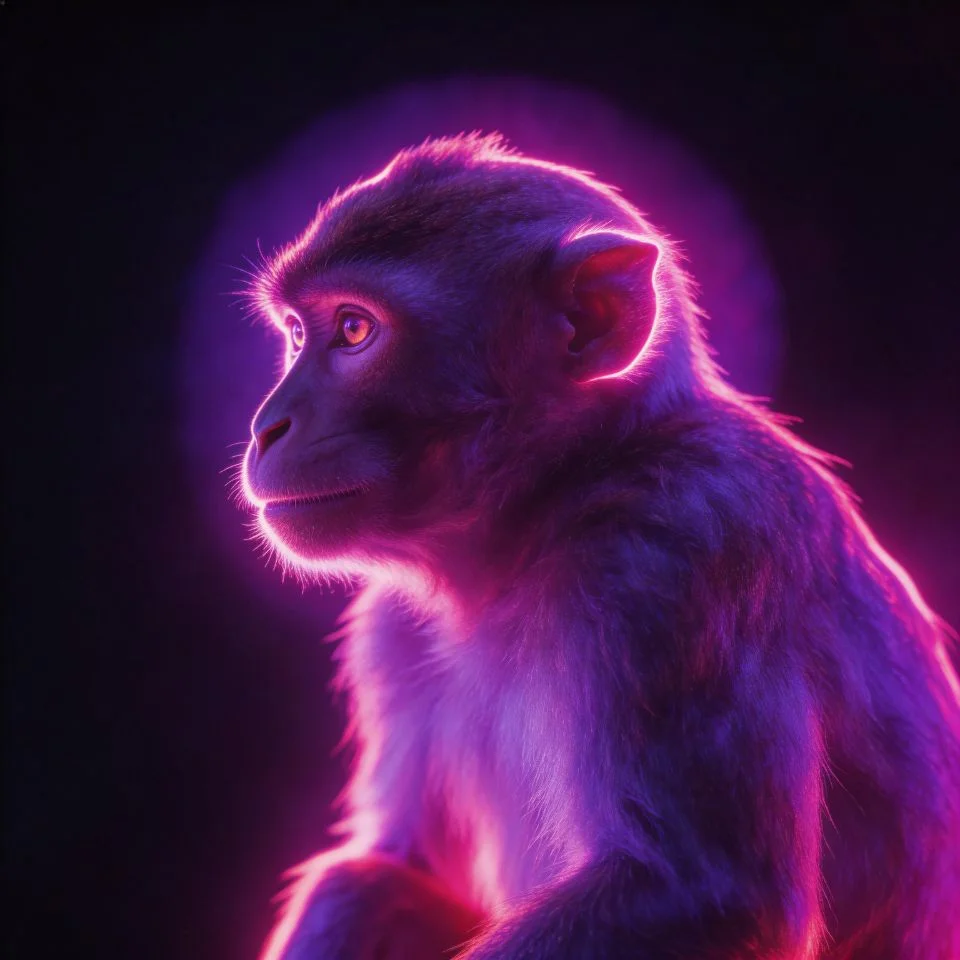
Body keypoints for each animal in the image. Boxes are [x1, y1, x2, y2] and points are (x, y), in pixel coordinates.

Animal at [237, 133, 960, 959]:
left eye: (355, 331)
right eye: (298, 335)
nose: (266, 427)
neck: (543, 518)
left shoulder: (674, 552)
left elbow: (704, 894)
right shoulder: (393, 630)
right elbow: (404, 864)